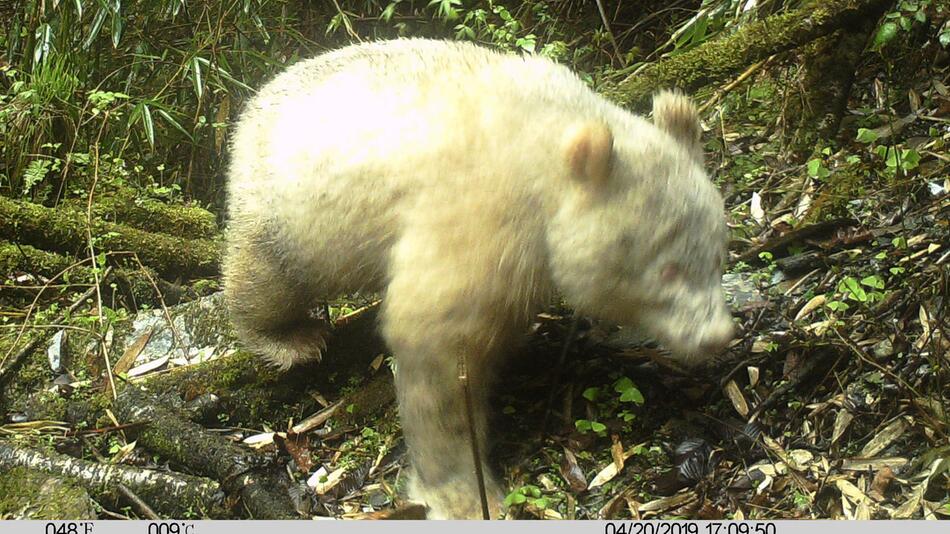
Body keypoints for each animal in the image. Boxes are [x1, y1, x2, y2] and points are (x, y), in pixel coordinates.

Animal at [225, 38, 736, 524]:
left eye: (717, 255)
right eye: (668, 268)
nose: (716, 335)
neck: (547, 143)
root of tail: (254, 103)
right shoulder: (481, 213)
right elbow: (436, 341)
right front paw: (463, 492)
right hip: (285, 209)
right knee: (265, 277)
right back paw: (289, 337)